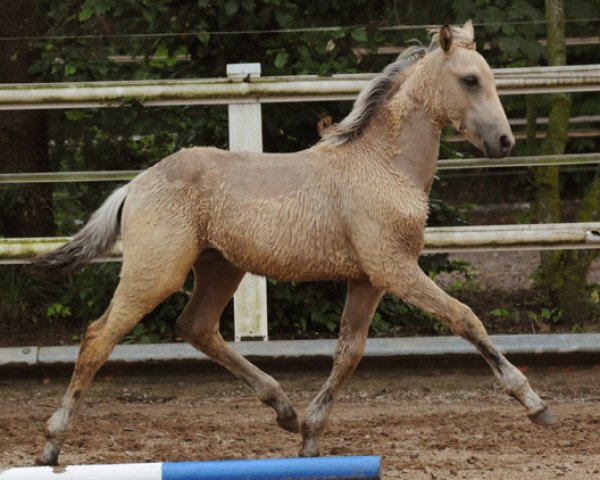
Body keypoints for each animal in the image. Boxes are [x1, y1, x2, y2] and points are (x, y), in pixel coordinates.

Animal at [35, 20, 556, 464]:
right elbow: (465, 318)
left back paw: (283, 409)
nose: (504, 142)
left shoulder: (368, 279)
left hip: (221, 268)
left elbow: (349, 351)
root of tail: (136, 184)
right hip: (157, 272)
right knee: (98, 337)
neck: (383, 165)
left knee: (196, 327)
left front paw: (309, 435)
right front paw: (536, 405)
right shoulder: (395, 268)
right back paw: (52, 445)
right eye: (470, 79)